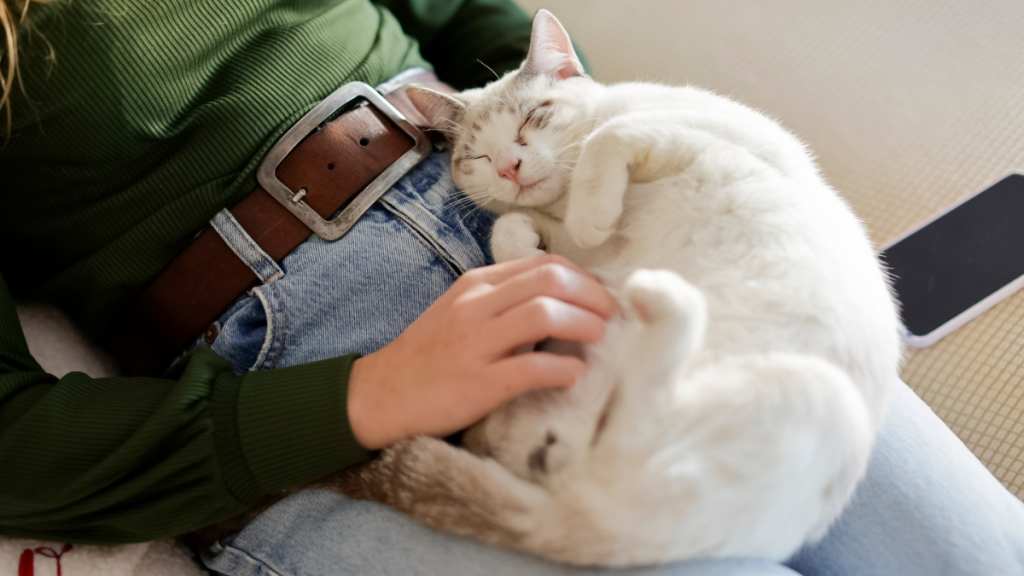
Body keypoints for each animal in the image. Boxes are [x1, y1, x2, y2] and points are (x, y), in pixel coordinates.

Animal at [329, 10, 905, 565]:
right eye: (476, 158)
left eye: (532, 118)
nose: (510, 167)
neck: (566, 200)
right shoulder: (563, 236)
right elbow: (511, 226)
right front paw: (537, 259)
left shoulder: (709, 135)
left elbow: (610, 135)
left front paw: (588, 214)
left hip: (817, 397)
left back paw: (658, 297)